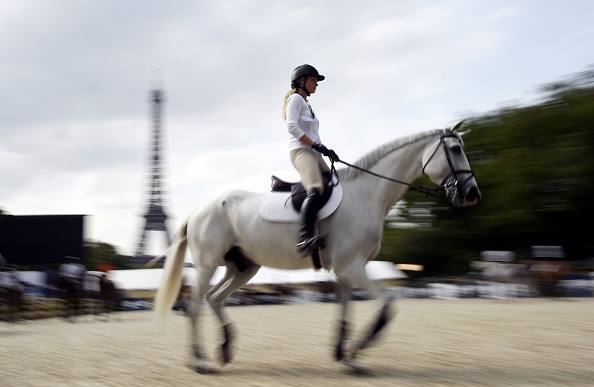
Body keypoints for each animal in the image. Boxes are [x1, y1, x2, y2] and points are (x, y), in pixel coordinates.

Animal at [154, 120, 480, 372]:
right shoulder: (351, 267)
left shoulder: (348, 270)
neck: (367, 195)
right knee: (193, 306)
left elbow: (345, 313)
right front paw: (358, 348)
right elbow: (387, 306)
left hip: (243, 267)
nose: (472, 194)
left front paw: (345, 356)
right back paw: (200, 362)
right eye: (455, 150)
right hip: (207, 264)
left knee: (214, 299)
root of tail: (198, 211)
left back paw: (224, 349)